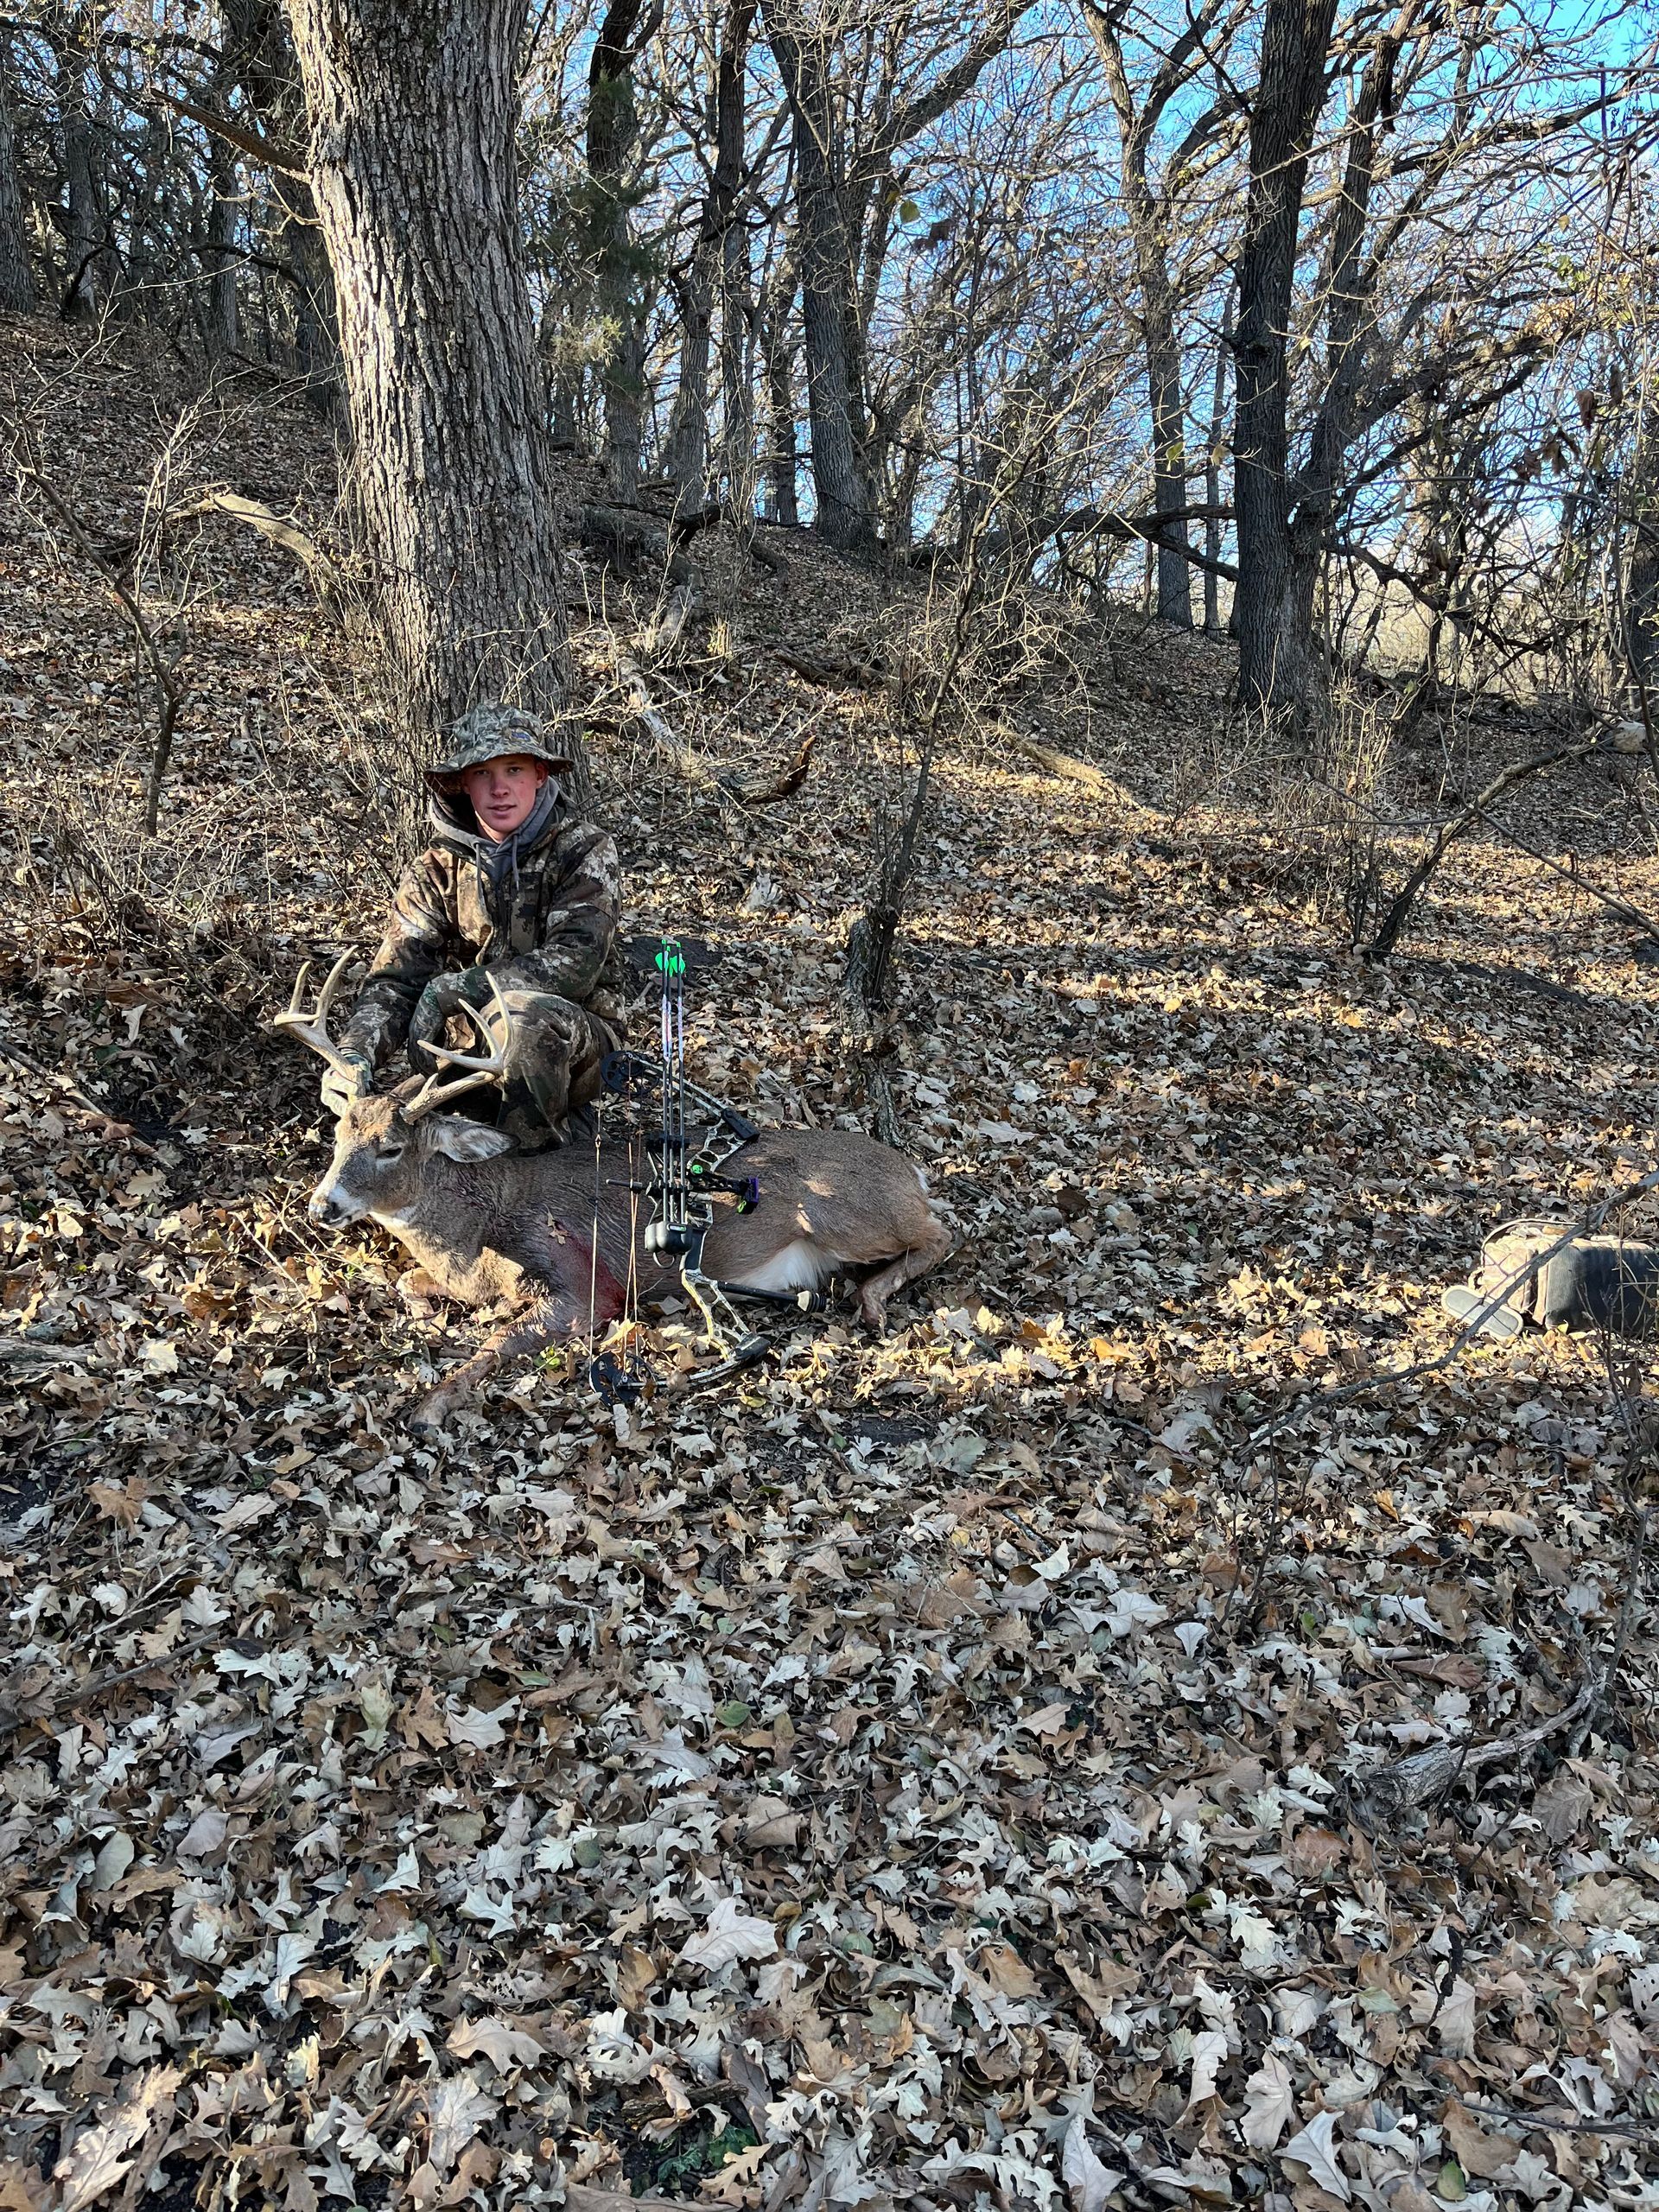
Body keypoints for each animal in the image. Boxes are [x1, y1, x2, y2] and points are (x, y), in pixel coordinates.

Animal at [273, 955, 954, 1429]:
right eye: (339, 1132)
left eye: (391, 1146)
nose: (322, 1205)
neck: (474, 1234)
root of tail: (912, 1173)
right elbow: (409, 1287)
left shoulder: (582, 1287)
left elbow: (495, 1342)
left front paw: (429, 1407)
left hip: (839, 1211)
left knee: (943, 1233)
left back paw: (871, 1298)